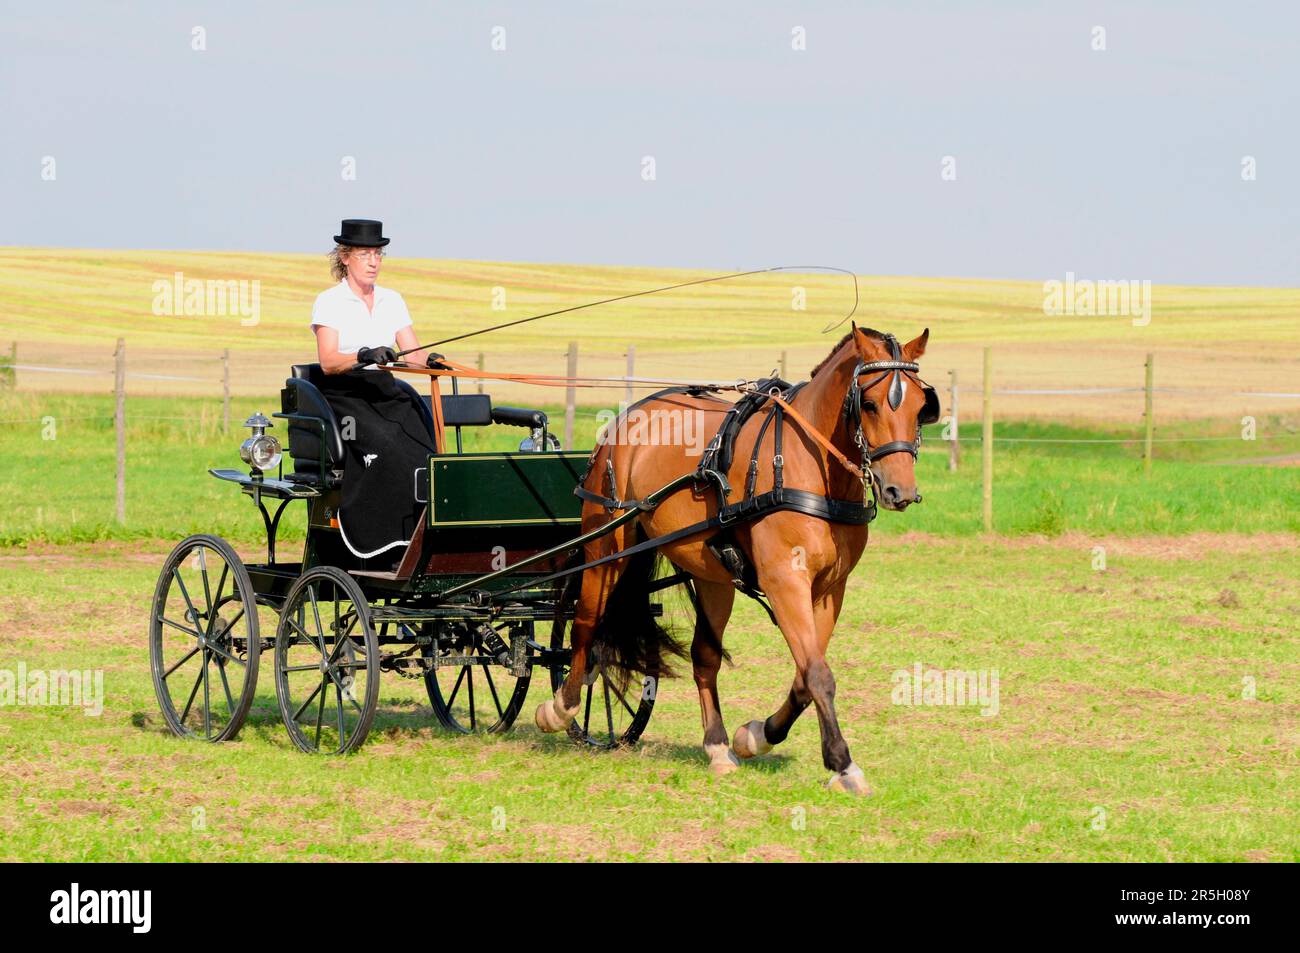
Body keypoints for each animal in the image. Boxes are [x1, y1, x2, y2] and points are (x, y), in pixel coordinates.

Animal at [533, 323, 941, 790]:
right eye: (869, 404)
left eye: (919, 406)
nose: (899, 491)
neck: (809, 466)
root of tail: (628, 416)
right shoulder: (785, 581)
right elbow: (818, 674)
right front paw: (842, 763)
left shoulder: (829, 590)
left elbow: (805, 673)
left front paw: (757, 736)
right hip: (607, 546)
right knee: (585, 624)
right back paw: (560, 707)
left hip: (712, 574)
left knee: (703, 657)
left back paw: (717, 745)